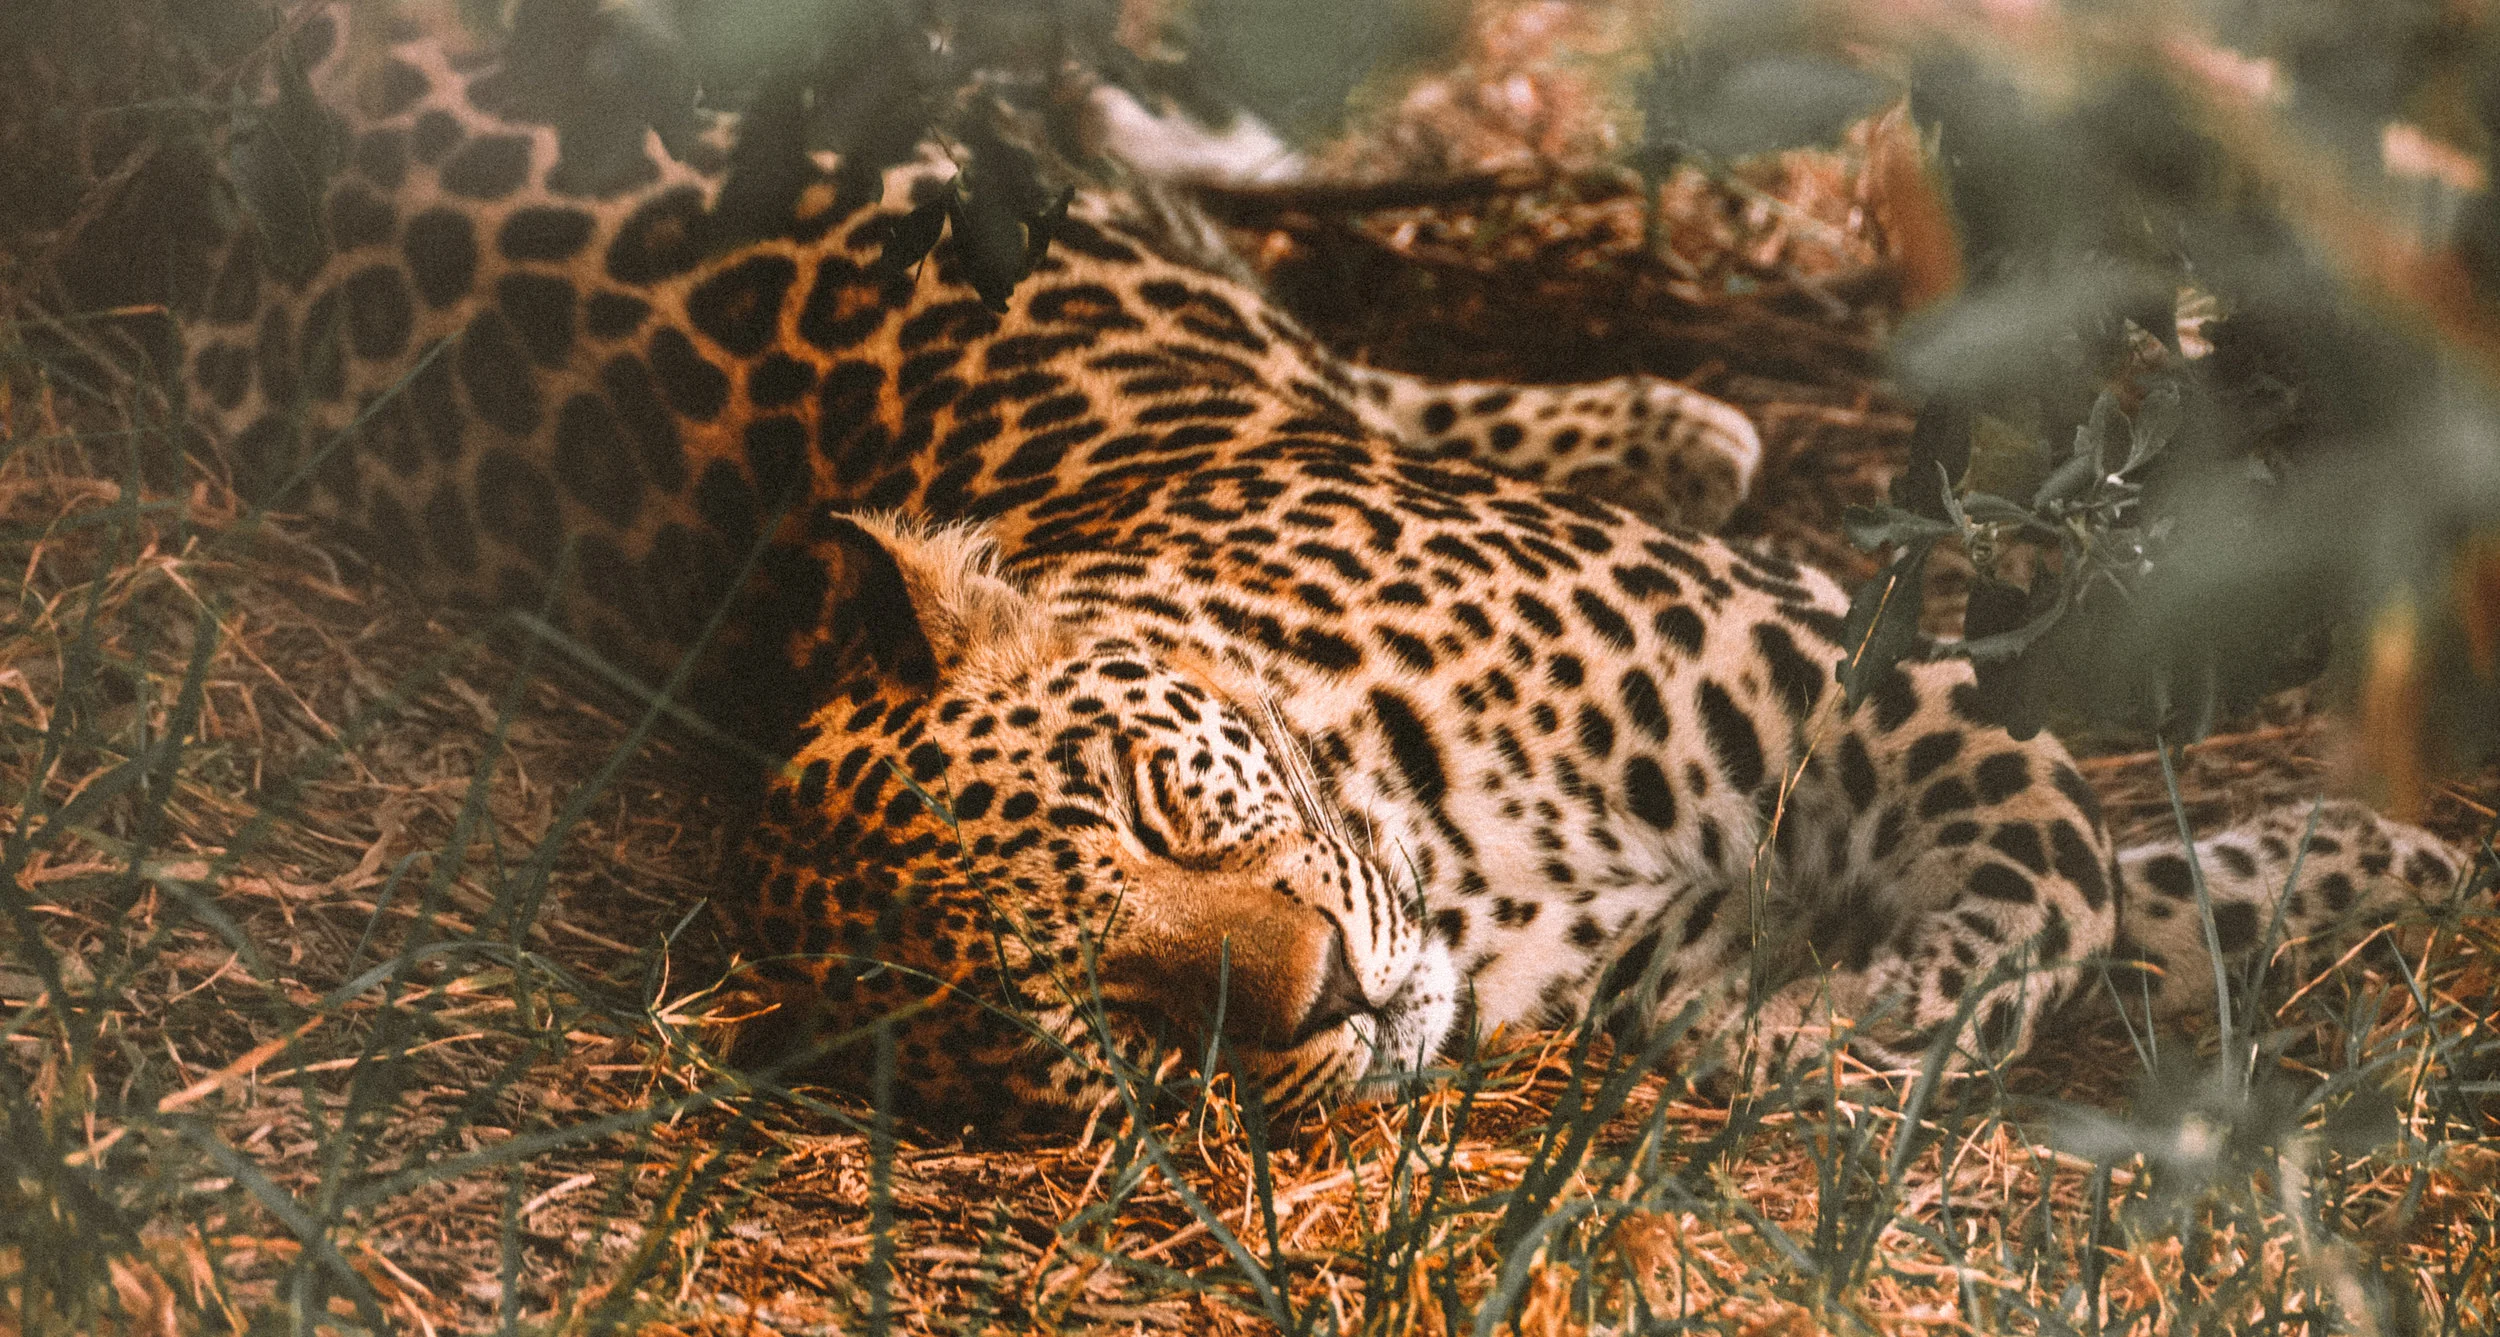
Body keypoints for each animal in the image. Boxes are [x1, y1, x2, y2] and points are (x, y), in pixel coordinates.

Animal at [171, 0, 2472, 1134]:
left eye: (1143, 798)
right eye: (1085, 1020)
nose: (1319, 999)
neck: (1470, 860)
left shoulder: (1862, 673)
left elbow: (2059, 877)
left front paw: (1870, 1019)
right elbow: (2136, 900)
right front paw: (2394, 868)